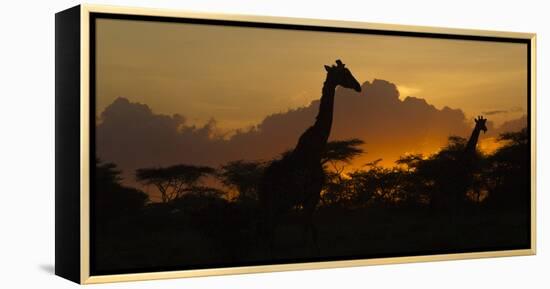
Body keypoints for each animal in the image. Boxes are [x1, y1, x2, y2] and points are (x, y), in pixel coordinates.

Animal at [260, 59, 364, 253]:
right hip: (279, 201)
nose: (358, 86)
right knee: (269, 229)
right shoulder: (312, 194)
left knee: (269, 230)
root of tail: (264, 179)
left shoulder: (306, 198)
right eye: (345, 73)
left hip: (275, 202)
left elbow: (310, 230)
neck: (316, 148)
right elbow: (306, 233)